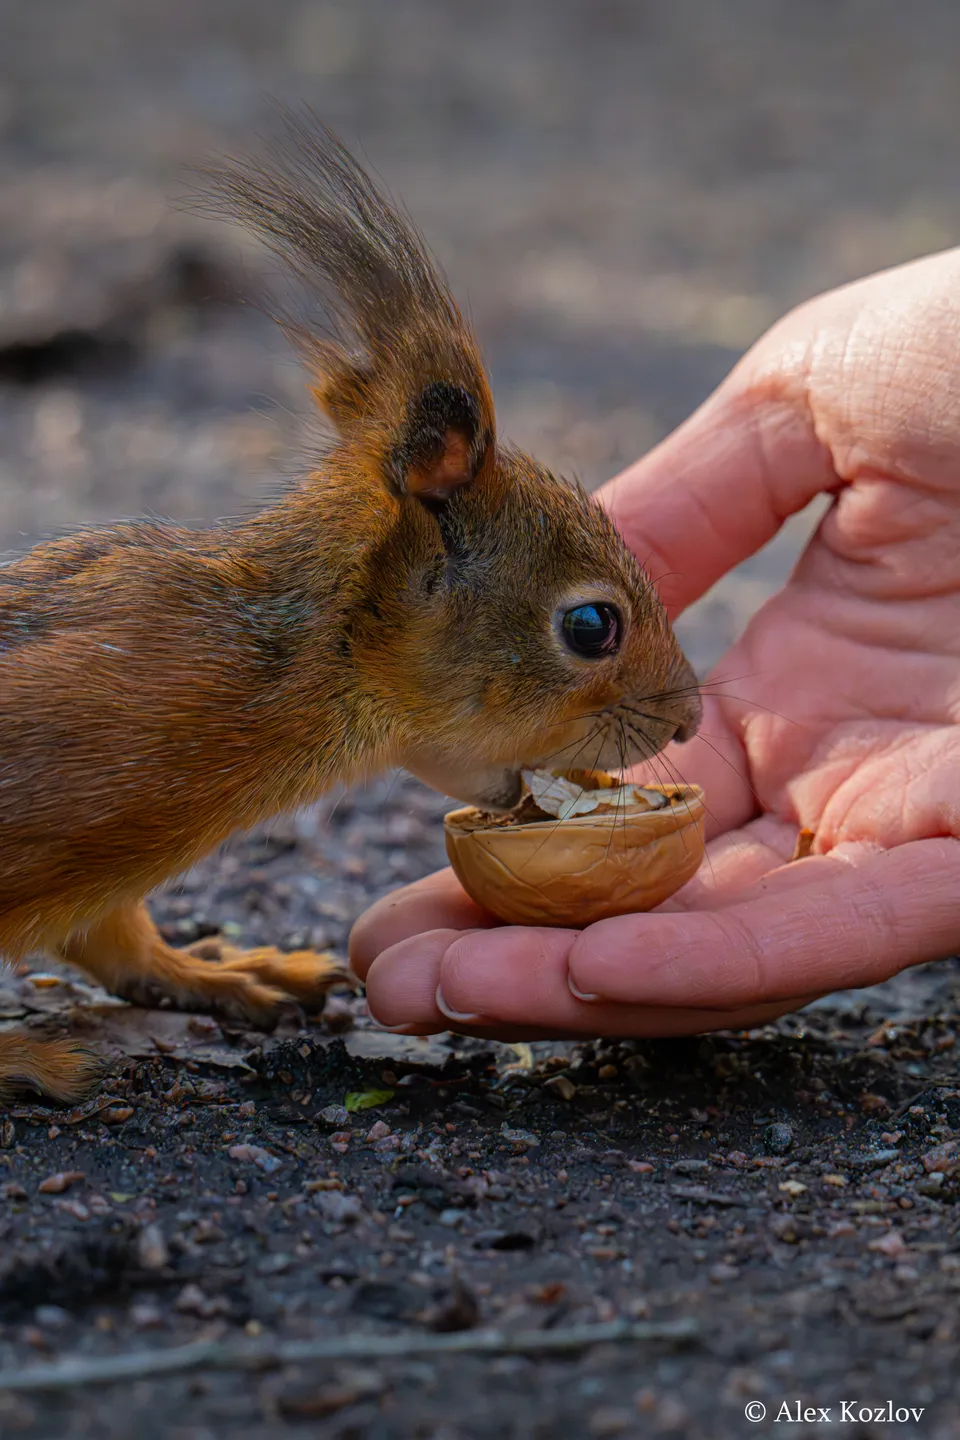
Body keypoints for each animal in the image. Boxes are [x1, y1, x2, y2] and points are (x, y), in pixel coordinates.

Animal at [0, 111, 701, 1103]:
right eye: (592, 626)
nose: (690, 719)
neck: (288, 669)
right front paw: (23, 1057)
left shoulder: (101, 874)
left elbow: (110, 940)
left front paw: (216, 972)